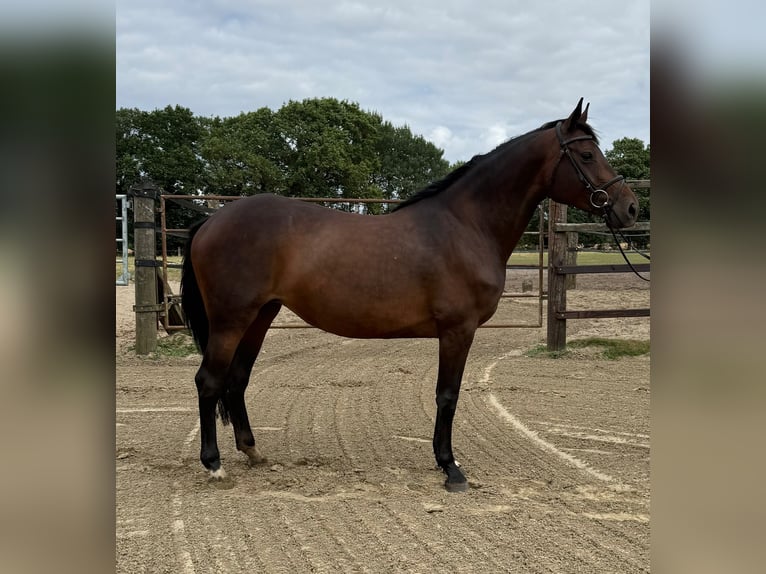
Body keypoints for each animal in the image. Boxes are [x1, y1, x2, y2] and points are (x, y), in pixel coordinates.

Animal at [180, 99, 638, 491]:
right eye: (586, 156)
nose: (630, 208)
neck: (466, 225)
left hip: (262, 314)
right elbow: (447, 396)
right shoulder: (457, 330)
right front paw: (451, 468)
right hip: (232, 318)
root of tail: (210, 221)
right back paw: (214, 464)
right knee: (209, 380)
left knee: (237, 379)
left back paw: (252, 451)